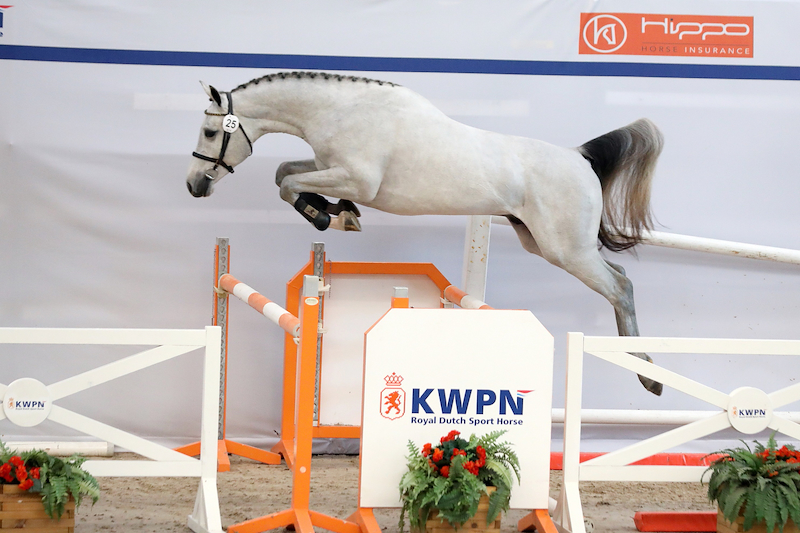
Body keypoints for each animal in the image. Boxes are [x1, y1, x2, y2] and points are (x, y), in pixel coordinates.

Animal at [186, 71, 665, 395]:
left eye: (210, 132)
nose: (194, 186)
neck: (341, 111)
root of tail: (580, 157)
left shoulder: (357, 179)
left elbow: (287, 183)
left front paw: (330, 217)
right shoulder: (330, 168)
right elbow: (285, 173)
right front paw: (338, 212)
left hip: (566, 250)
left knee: (620, 286)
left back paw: (646, 373)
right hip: (544, 243)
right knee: (619, 274)